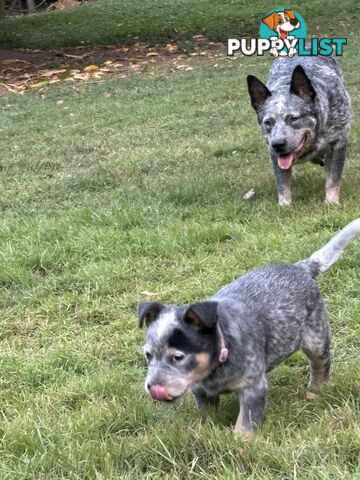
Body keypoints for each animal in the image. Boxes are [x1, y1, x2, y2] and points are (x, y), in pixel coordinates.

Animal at [139, 219, 360, 436]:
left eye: (178, 357)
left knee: (321, 363)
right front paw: (209, 430)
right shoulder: (200, 388)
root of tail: (301, 267)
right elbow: (208, 415)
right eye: (148, 355)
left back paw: (317, 388)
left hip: (316, 337)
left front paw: (239, 442)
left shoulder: (253, 387)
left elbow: (245, 424)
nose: (152, 387)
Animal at [246, 55, 350, 205]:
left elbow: (333, 179)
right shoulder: (273, 154)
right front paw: (285, 205)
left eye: (293, 118)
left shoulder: (338, 143)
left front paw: (331, 202)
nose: (277, 144)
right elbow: (282, 184)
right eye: (268, 122)